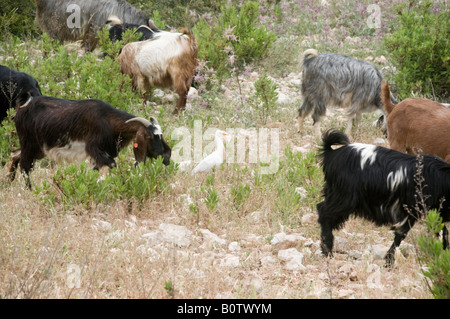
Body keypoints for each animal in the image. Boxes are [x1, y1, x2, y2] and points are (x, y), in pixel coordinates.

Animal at [11, 96, 172, 189]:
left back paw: (8, 182)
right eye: (151, 136)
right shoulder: (96, 150)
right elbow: (113, 165)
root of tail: (21, 110)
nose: (166, 157)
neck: (108, 120)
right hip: (30, 144)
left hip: (38, 149)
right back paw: (30, 189)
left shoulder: (97, 157)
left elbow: (94, 172)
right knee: (25, 166)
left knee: (15, 155)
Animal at [316, 130, 450, 268]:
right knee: (324, 213)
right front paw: (389, 261)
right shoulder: (411, 210)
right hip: (344, 197)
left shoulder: (436, 213)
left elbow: (443, 232)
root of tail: (331, 154)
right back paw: (327, 249)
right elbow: (400, 235)